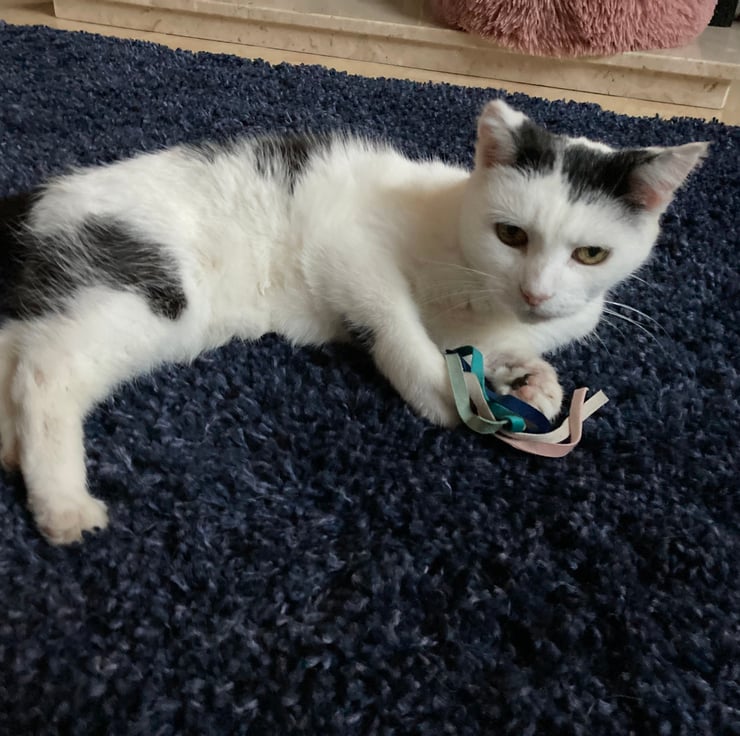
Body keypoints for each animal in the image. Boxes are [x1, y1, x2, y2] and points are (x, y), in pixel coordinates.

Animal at [0, 99, 707, 544]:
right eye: (511, 234)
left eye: (591, 254)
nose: (536, 292)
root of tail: (38, 203)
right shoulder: (347, 245)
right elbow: (395, 323)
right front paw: (439, 394)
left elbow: (491, 350)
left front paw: (531, 381)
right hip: (151, 291)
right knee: (47, 371)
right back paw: (63, 505)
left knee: (21, 352)